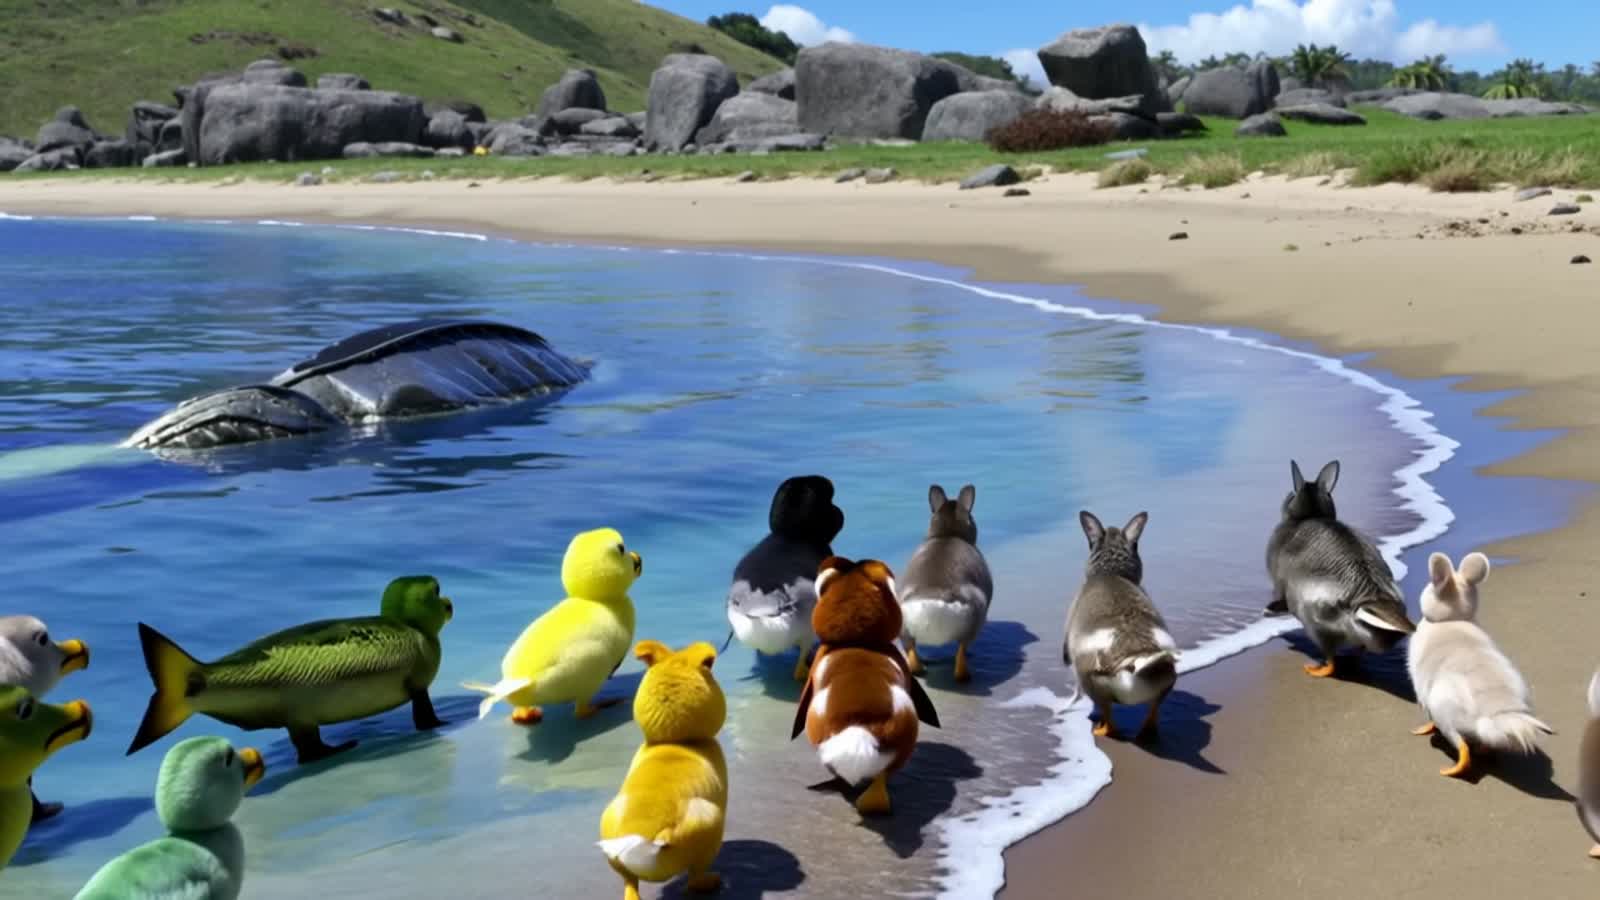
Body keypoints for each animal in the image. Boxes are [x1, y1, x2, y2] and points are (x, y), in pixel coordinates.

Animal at [898, 484, 994, 683]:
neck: (948, 534)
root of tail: (931, 602)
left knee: (911, 649)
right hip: (974, 616)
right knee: (962, 650)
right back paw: (964, 674)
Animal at [1064, 511, 1179, 741]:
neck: (1111, 572)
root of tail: (1136, 659)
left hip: (1092, 680)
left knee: (1108, 712)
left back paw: (1102, 728)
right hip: (1168, 675)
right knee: (1154, 708)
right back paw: (1147, 732)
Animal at [1265, 460, 1415, 678]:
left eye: (1291, 494)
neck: (1311, 515)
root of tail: (1369, 596)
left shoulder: (1280, 580)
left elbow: (1279, 596)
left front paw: (1272, 609)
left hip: (1316, 622)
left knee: (1330, 658)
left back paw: (1320, 668)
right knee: (1360, 648)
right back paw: (1353, 659)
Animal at [1407, 551, 1553, 778]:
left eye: (1429, 586)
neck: (1451, 620)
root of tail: (1504, 713)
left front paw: (1424, 727)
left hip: (1445, 714)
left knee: (1463, 749)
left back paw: (1450, 770)